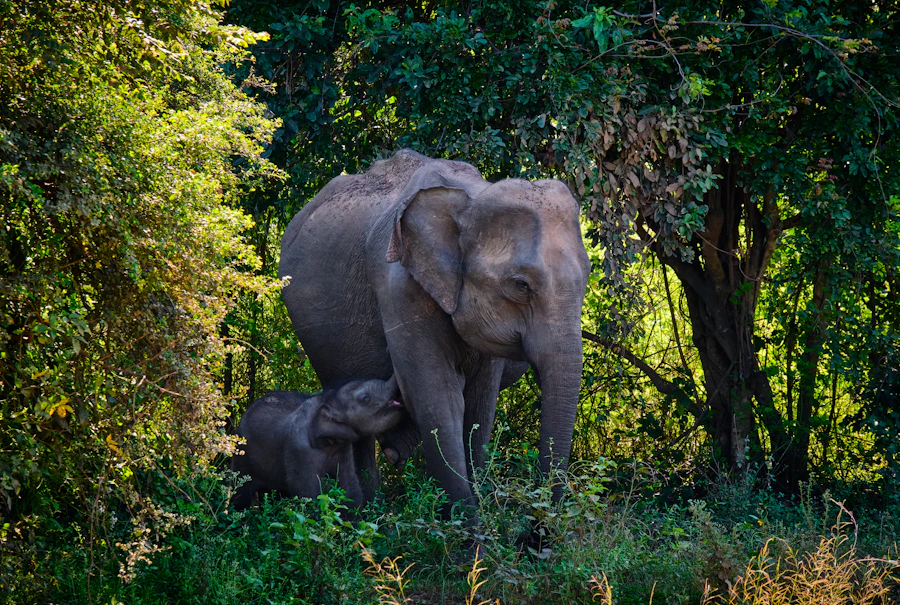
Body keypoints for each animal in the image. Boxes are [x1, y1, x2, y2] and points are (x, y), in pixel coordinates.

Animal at [230, 376, 404, 510]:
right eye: (365, 399)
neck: (327, 401)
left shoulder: (343, 447)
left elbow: (349, 486)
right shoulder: (299, 451)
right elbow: (308, 493)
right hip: (242, 456)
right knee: (241, 495)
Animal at [279, 149, 590, 508]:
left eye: (587, 278)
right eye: (521, 285)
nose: (541, 522)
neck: (471, 198)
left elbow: (480, 404)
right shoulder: (400, 287)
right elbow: (439, 398)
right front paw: (468, 521)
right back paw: (371, 507)